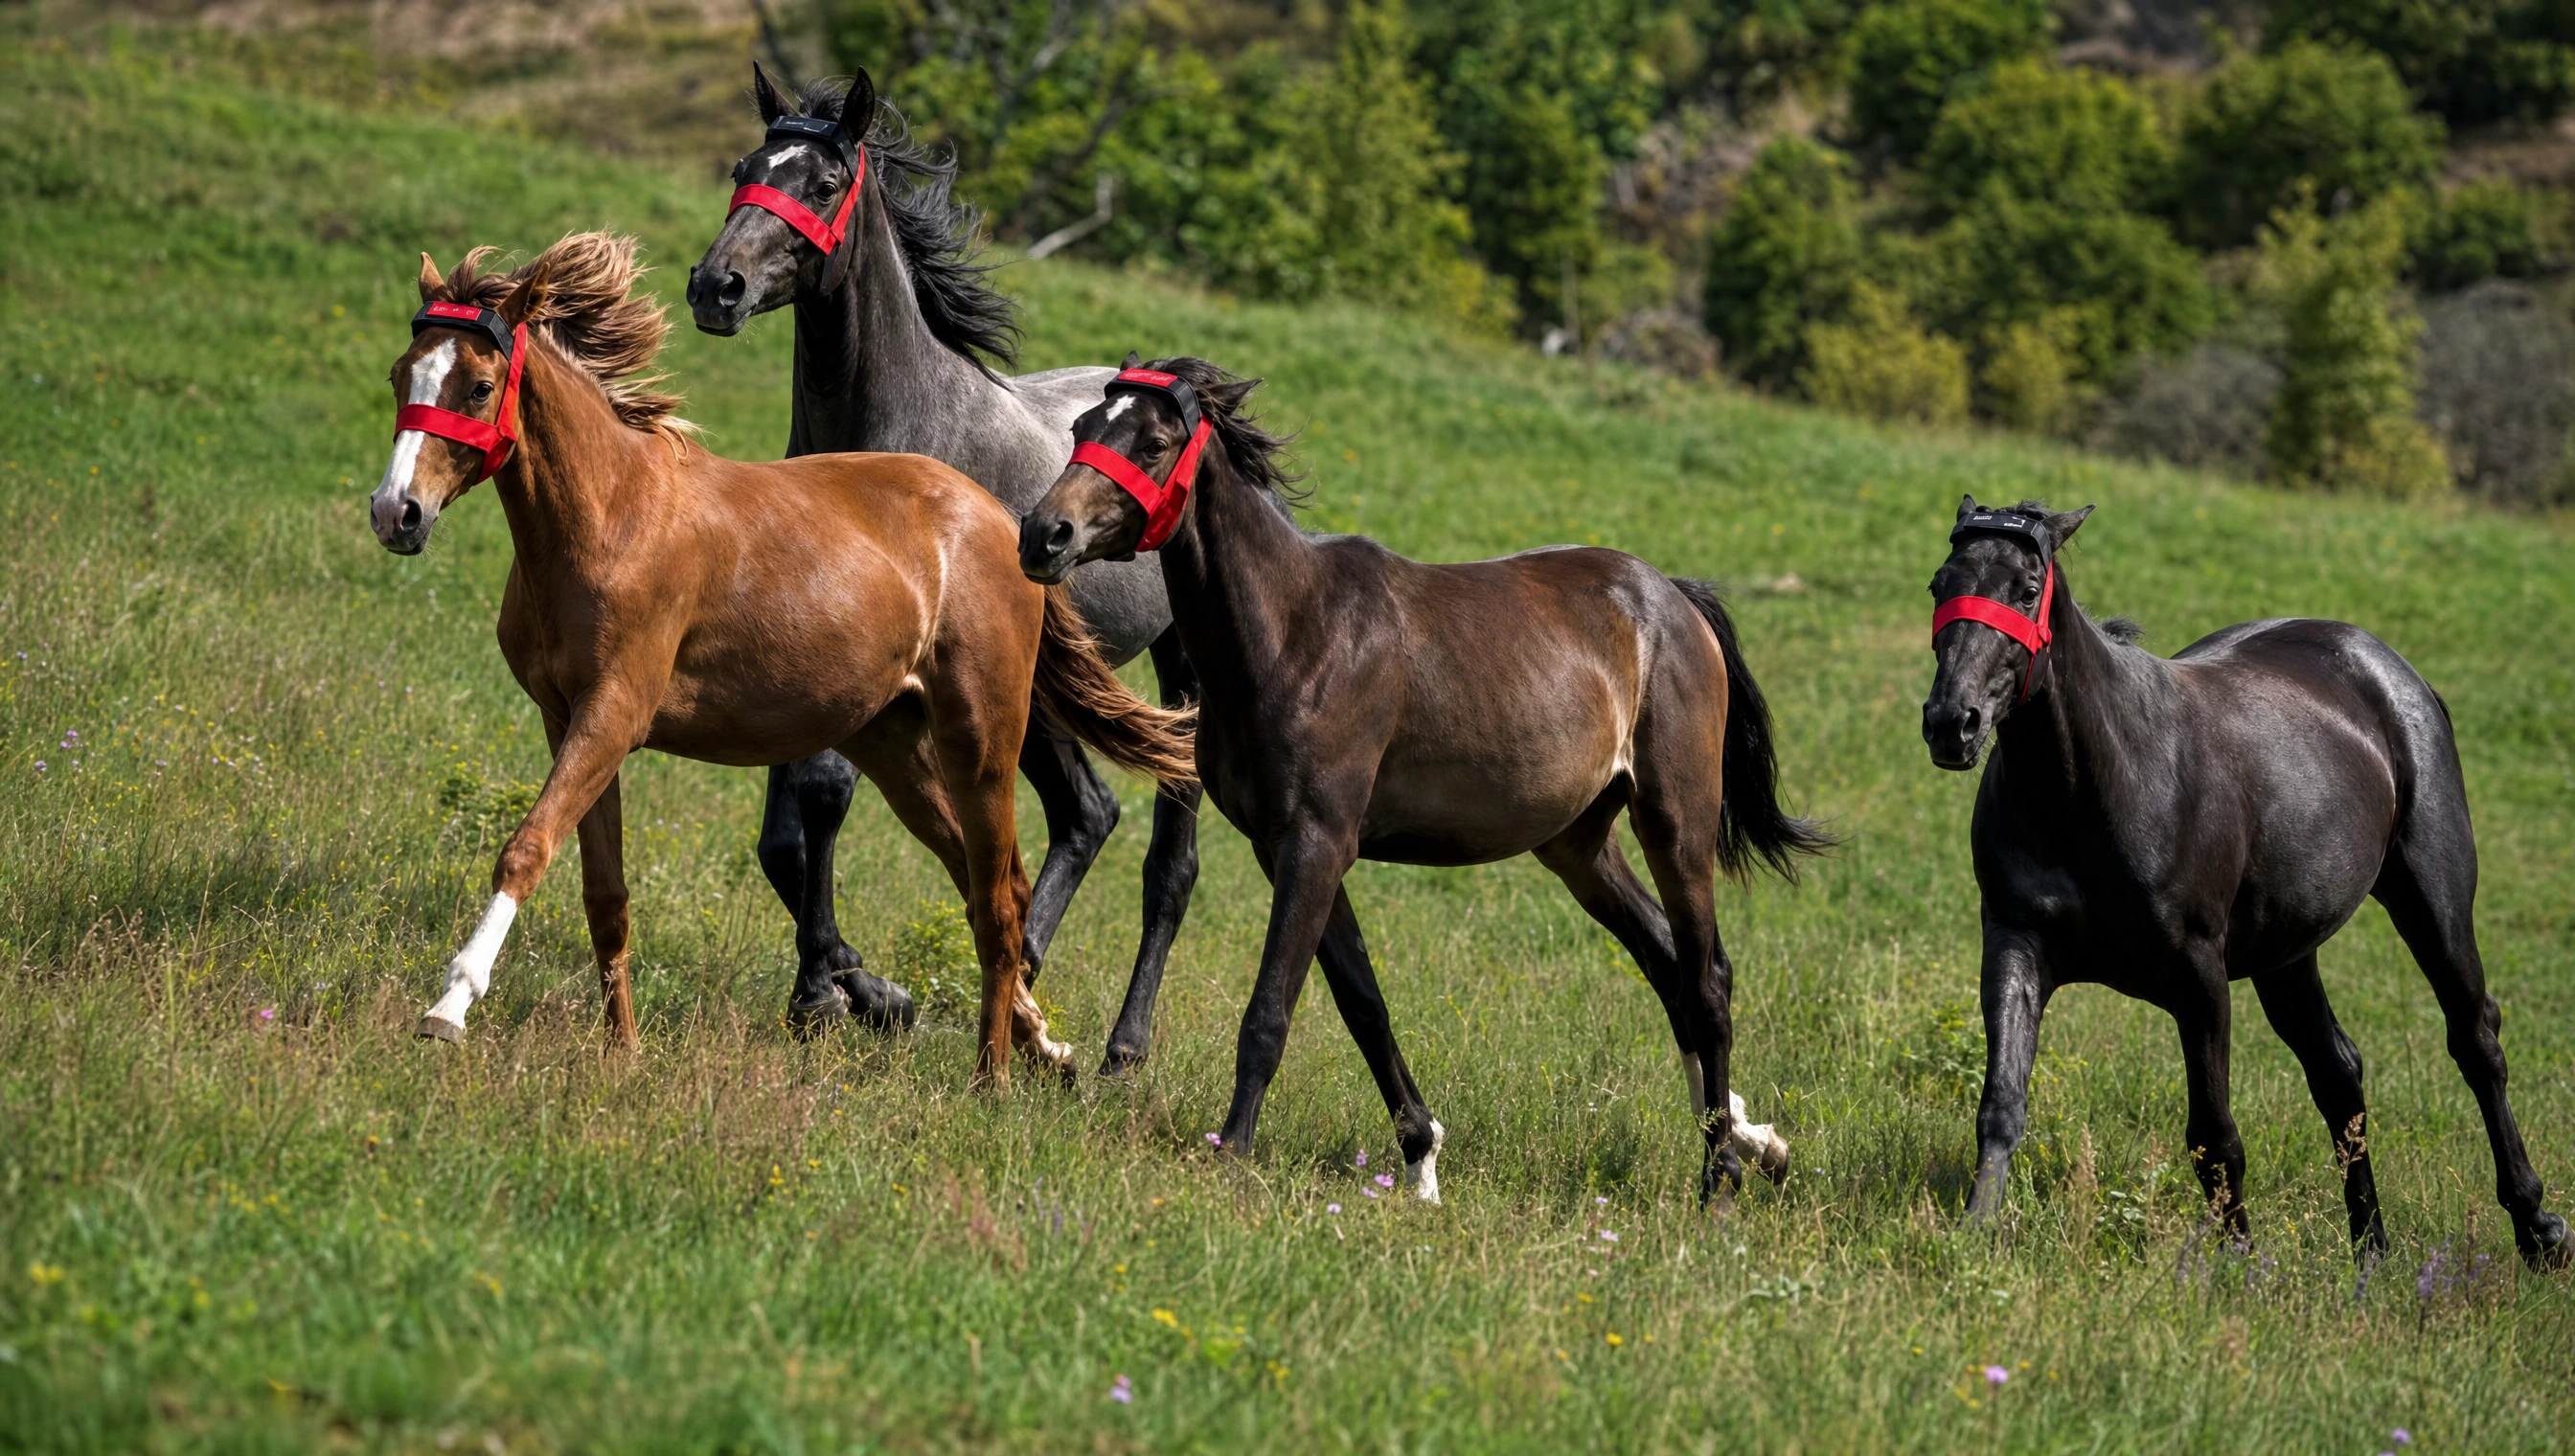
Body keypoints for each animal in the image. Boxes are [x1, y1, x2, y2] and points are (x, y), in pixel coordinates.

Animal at [366, 232, 1194, 1088]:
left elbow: (526, 849)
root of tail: (1004, 519)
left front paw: (449, 1006)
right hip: (892, 745)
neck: (610, 518)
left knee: (1002, 898)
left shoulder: (614, 714)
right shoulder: (568, 722)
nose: (397, 513)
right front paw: (621, 1048)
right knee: (987, 882)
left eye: (479, 385)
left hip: (983, 741)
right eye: (401, 375)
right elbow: (606, 894)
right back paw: (1043, 1045)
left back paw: (993, 1077)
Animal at [686, 65, 1203, 1070]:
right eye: (742, 170)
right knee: (1087, 814)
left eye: (822, 183)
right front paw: (865, 990)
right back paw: (1023, 983)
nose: (716, 287)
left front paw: (828, 994)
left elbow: (823, 797)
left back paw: (1113, 1045)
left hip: (1174, 673)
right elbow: (783, 836)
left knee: (1167, 855)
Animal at [1018, 357, 1829, 1203]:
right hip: (1578, 846)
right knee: (1670, 966)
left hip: (1675, 822)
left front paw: (1232, 1152)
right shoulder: (1289, 848)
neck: (1292, 630)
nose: (1043, 534)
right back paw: (1747, 1141)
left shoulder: (1316, 843)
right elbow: (1362, 1003)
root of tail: (1673, 600)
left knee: (1706, 980)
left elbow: (1271, 1009)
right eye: (1082, 428)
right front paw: (1421, 1155)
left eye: (1153, 442)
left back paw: (1722, 1174)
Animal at [1921, 496, 2566, 1267]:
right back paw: (2371, 1249)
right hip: (2287, 953)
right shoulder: (2015, 944)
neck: (2094, 786)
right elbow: (2001, 1102)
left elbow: (2213, 1134)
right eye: (1938, 584)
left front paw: (2237, 1264)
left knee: (2475, 1041)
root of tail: (2390, 670)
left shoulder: (2198, 976)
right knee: (2338, 1072)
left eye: (2024, 590)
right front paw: (1973, 1234)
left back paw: (2538, 1227)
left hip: (2432, 903)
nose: (1952, 723)